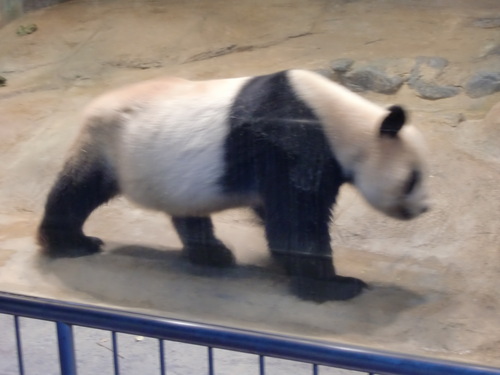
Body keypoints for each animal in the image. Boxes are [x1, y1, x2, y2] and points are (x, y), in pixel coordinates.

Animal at [38, 70, 430, 302]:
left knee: (187, 214)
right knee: (77, 190)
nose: (424, 208)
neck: (343, 121)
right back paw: (70, 243)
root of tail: (94, 107)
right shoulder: (294, 141)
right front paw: (335, 285)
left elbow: (276, 215)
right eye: (412, 178)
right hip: (111, 146)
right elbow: (296, 219)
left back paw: (213, 254)